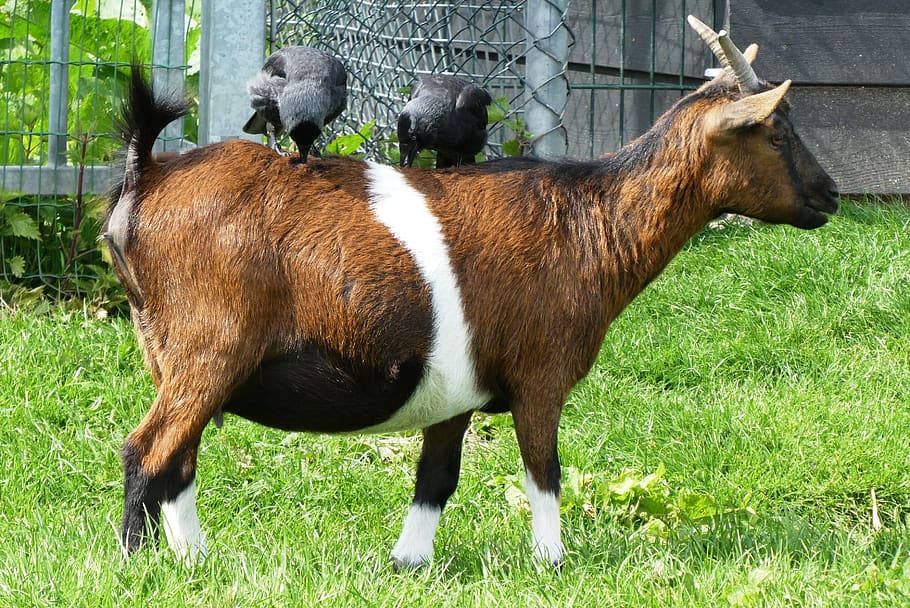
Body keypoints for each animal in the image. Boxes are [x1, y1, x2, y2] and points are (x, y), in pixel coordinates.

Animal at [104, 16, 837, 568]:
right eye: (774, 130)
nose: (829, 195)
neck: (590, 219)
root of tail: (146, 178)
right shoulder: (541, 376)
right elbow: (544, 469)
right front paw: (551, 563)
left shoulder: (453, 390)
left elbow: (436, 478)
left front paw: (409, 561)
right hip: (211, 351)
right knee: (148, 450)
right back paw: (136, 563)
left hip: (168, 354)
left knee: (178, 462)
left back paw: (194, 557)